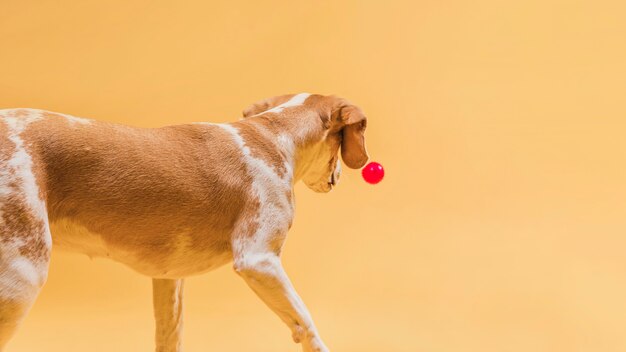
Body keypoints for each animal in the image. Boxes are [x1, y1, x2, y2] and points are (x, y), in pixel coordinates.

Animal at [0, 94, 366, 352]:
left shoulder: (168, 279)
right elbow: (305, 322)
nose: (340, 177)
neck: (272, 135)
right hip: (22, 278)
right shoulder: (259, 260)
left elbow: (170, 335)